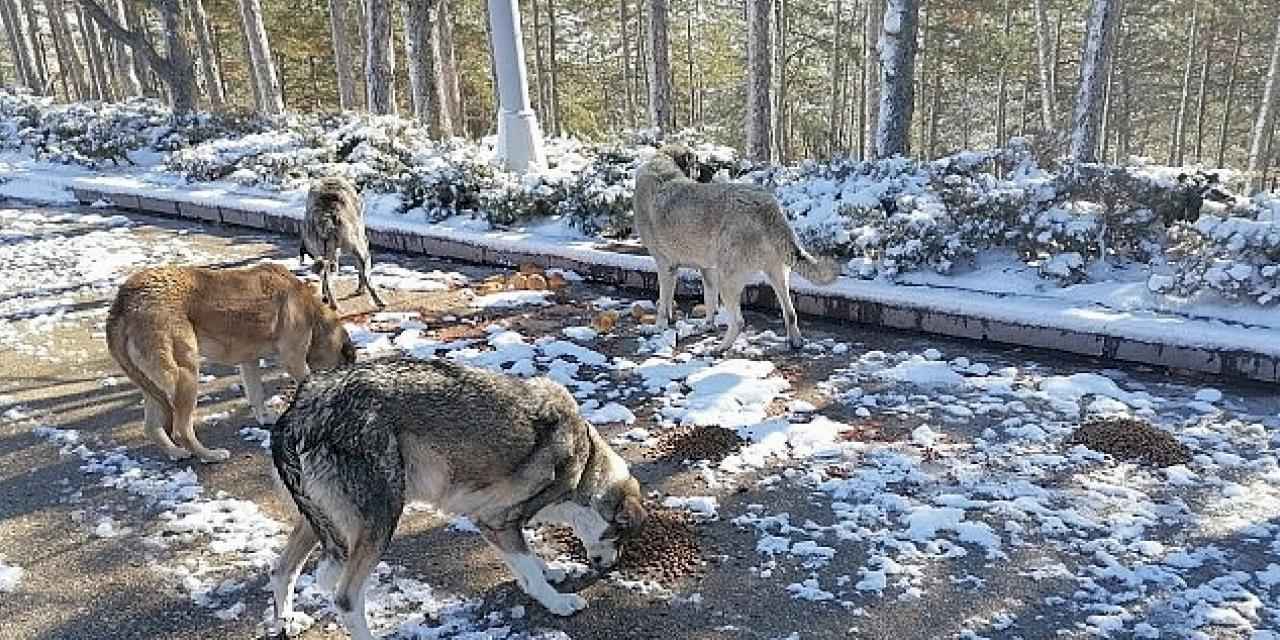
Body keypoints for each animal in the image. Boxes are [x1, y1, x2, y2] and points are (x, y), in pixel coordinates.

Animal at [271, 358, 650, 637]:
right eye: (620, 537)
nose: (610, 565)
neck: (583, 463)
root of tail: (298, 411)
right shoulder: (496, 521)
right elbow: (530, 569)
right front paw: (558, 603)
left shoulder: (495, 526)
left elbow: (528, 562)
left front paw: (549, 572)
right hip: (380, 524)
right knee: (345, 599)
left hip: (319, 524)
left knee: (283, 568)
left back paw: (287, 621)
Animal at [303, 176, 384, 311]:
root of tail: (327, 218)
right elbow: (362, 271)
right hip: (357, 246)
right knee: (364, 274)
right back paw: (377, 301)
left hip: (324, 251)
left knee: (325, 273)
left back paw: (330, 300)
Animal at [632, 145, 839, 353]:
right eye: (697, 163)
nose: (712, 171)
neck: (663, 166)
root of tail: (767, 207)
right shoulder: (706, 269)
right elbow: (709, 300)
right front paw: (707, 325)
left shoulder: (665, 267)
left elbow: (663, 304)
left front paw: (658, 327)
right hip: (777, 276)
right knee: (790, 313)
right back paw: (795, 341)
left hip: (728, 280)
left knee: (739, 322)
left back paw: (720, 347)